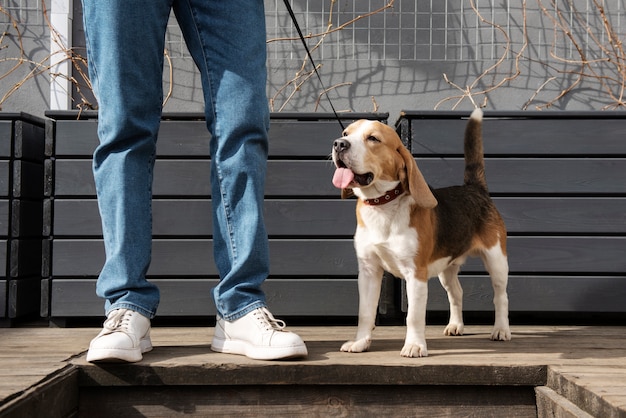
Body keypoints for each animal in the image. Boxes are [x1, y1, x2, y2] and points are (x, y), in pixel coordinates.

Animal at [332, 109, 508, 358]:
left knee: (500, 296)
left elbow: (414, 316)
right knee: (457, 292)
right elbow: (365, 313)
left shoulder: (416, 273)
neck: (383, 206)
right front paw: (360, 342)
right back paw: (456, 325)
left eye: (373, 138)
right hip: (446, 268)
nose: (339, 144)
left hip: (496, 260)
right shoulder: (368, 271)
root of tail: (475, 189)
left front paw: (414, 345)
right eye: (346, 133)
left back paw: (501, 329)